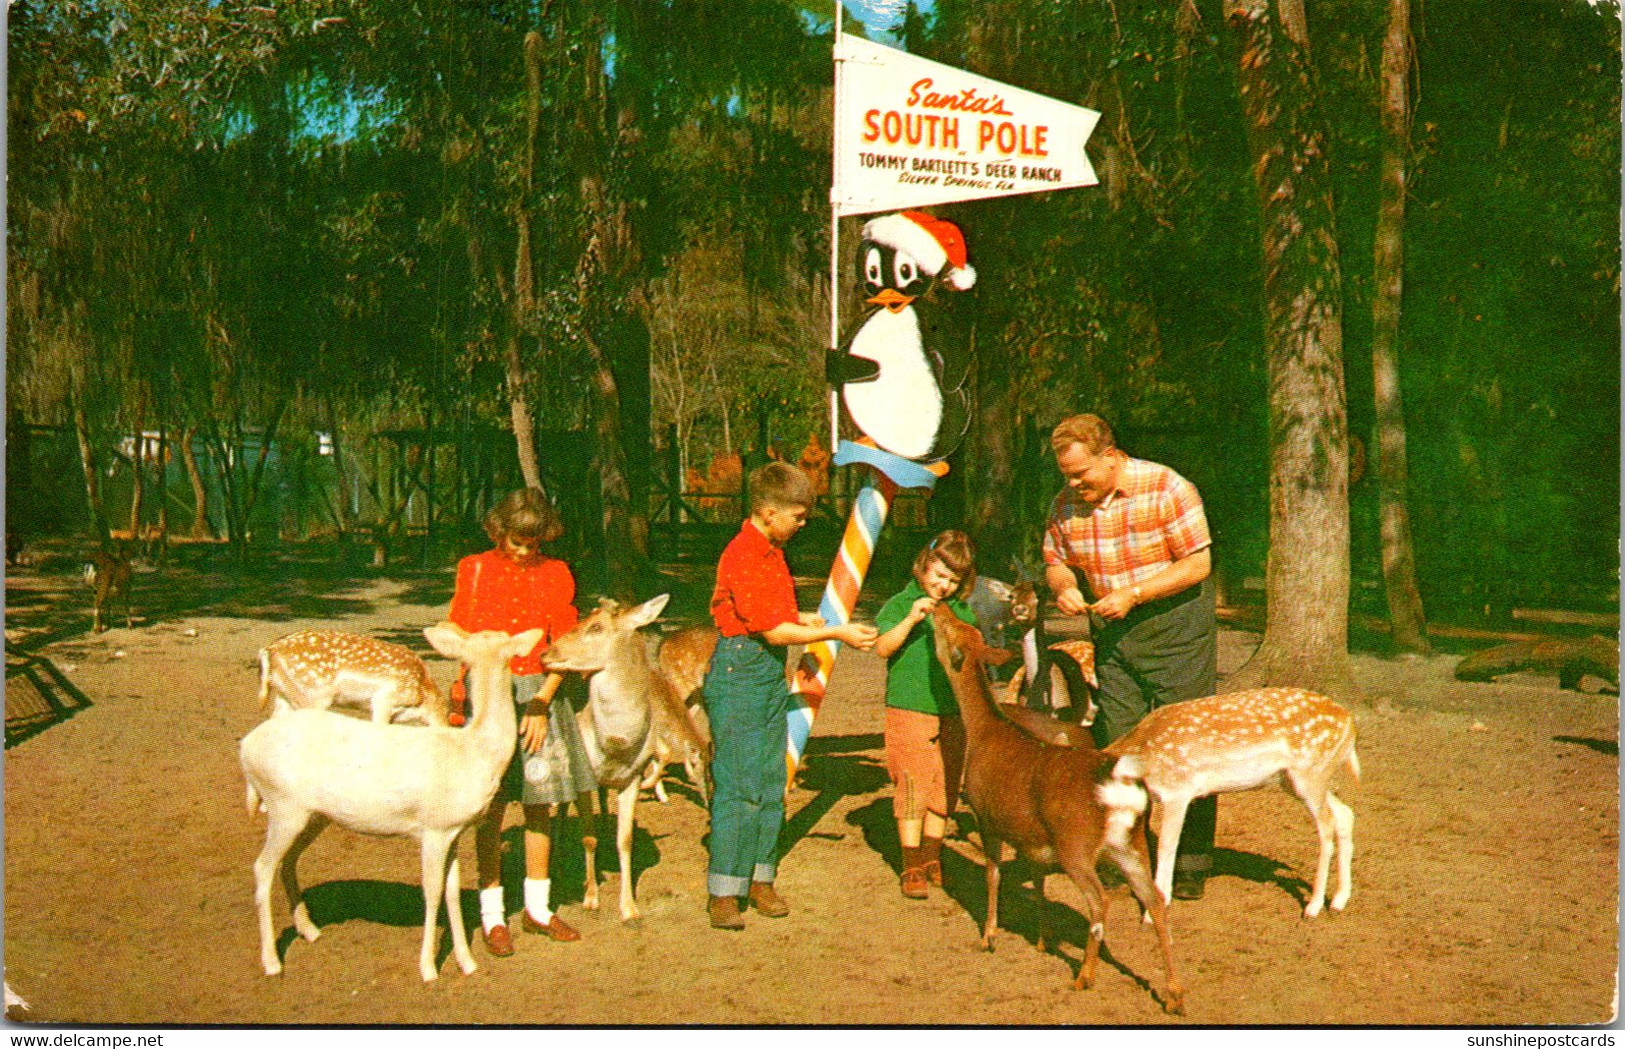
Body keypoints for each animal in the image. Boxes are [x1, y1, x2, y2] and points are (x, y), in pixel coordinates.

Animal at [936, 607, 1189, 1019]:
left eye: (947, 630)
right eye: (963, 627)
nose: (936, 609)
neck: (984, 734)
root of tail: (1122, 787)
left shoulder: (986, 815)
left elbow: (992, 875)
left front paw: (988, 936)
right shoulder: (1032, 838)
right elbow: (1038, 883)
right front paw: (1043, 938)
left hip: (1076, 844)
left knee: (1100, 901)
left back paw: (1085, 976)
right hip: (1130, 843)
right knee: (1155, 899)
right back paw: (1174, 995)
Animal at [1105, 691, 1358, 922]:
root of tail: (1349, 721)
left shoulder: (1177, 791)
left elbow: (1166, 847)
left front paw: (1151, 914)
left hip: (1311, 773)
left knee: (1327, 824)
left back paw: (1313, 908)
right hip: (1295, 781)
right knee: (1345, 813)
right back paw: (1338, 901)